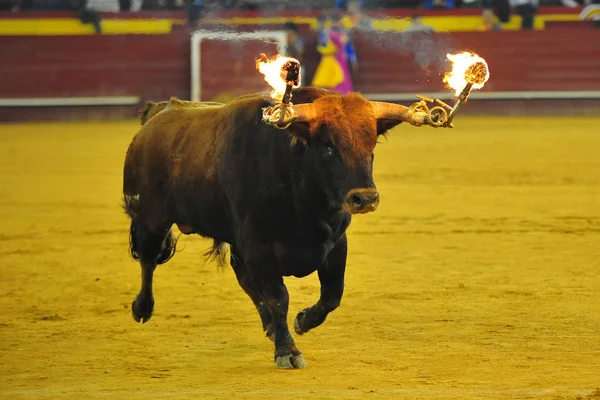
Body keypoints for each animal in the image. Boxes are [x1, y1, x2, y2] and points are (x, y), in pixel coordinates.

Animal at [122, 87, 424, 368]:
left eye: (371, 144)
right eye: (327, 146)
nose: (365, 198)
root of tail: (158, 113)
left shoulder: (336, 242)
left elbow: (332, 294)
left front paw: (302, 321)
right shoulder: (259, 247)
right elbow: (279, 297)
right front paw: (287, 352)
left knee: (244, 278)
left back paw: (269, 326)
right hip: (152, 220)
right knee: (148, 260)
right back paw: (142, 308)